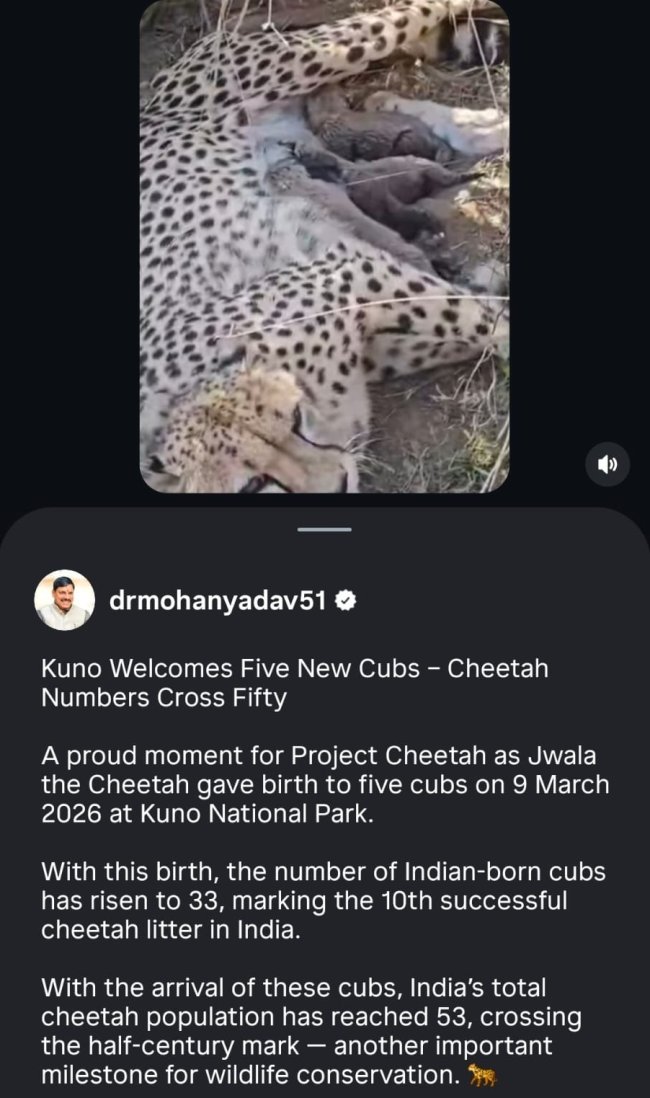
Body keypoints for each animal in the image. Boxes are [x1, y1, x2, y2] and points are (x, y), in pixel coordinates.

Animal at [140, 0, 509, 494]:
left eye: (295, 419)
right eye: (253, 485)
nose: (336, 485)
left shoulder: (350, 272)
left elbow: (478, 315)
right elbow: (468, 319)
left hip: (314, 53)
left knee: (417, 13)